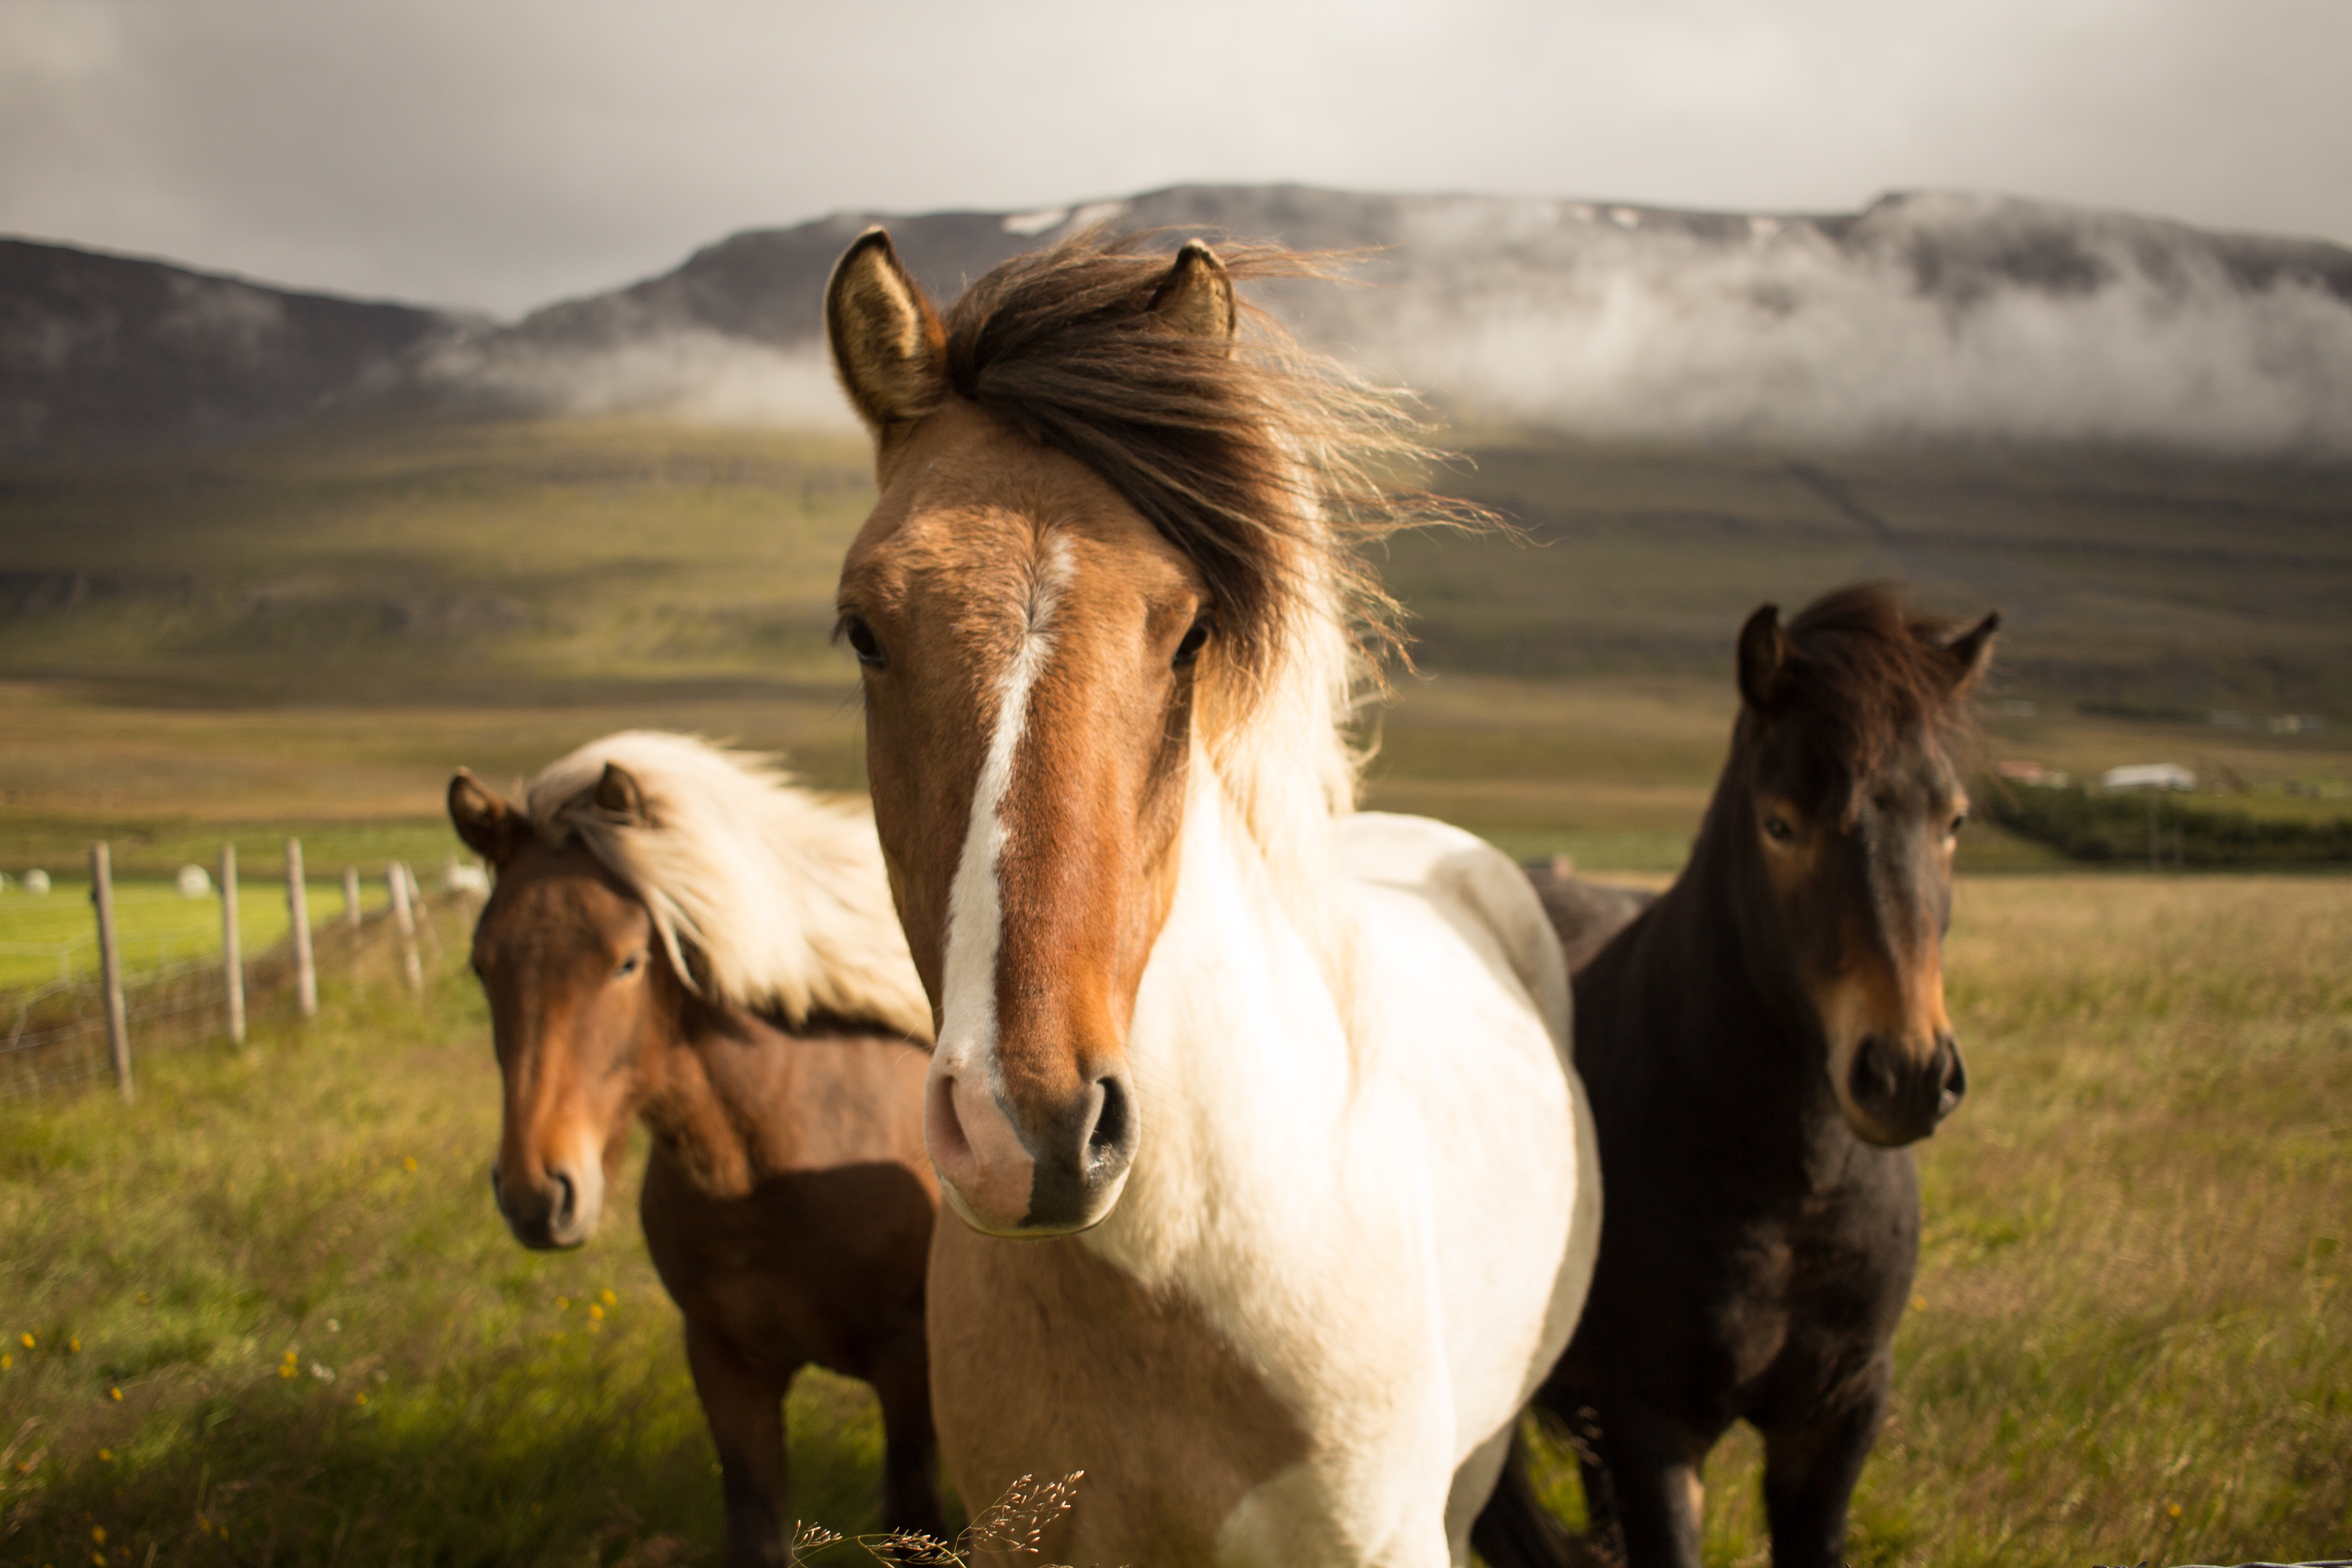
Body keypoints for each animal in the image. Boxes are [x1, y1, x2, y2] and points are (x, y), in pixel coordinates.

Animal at [449, 729, 945, 1561]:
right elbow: (755, 1526)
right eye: (482, 965)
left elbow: (917, 1521)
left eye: (627, 961)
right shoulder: (724, 1364)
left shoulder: (909, 1366)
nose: (537, 1194)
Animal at [1477, 585, 1994, 1568]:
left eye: (1952, 821)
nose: (1906, 1073)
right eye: (1780, 824)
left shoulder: (1836, 1415)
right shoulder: (1654, 1424)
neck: (1795, 1187)